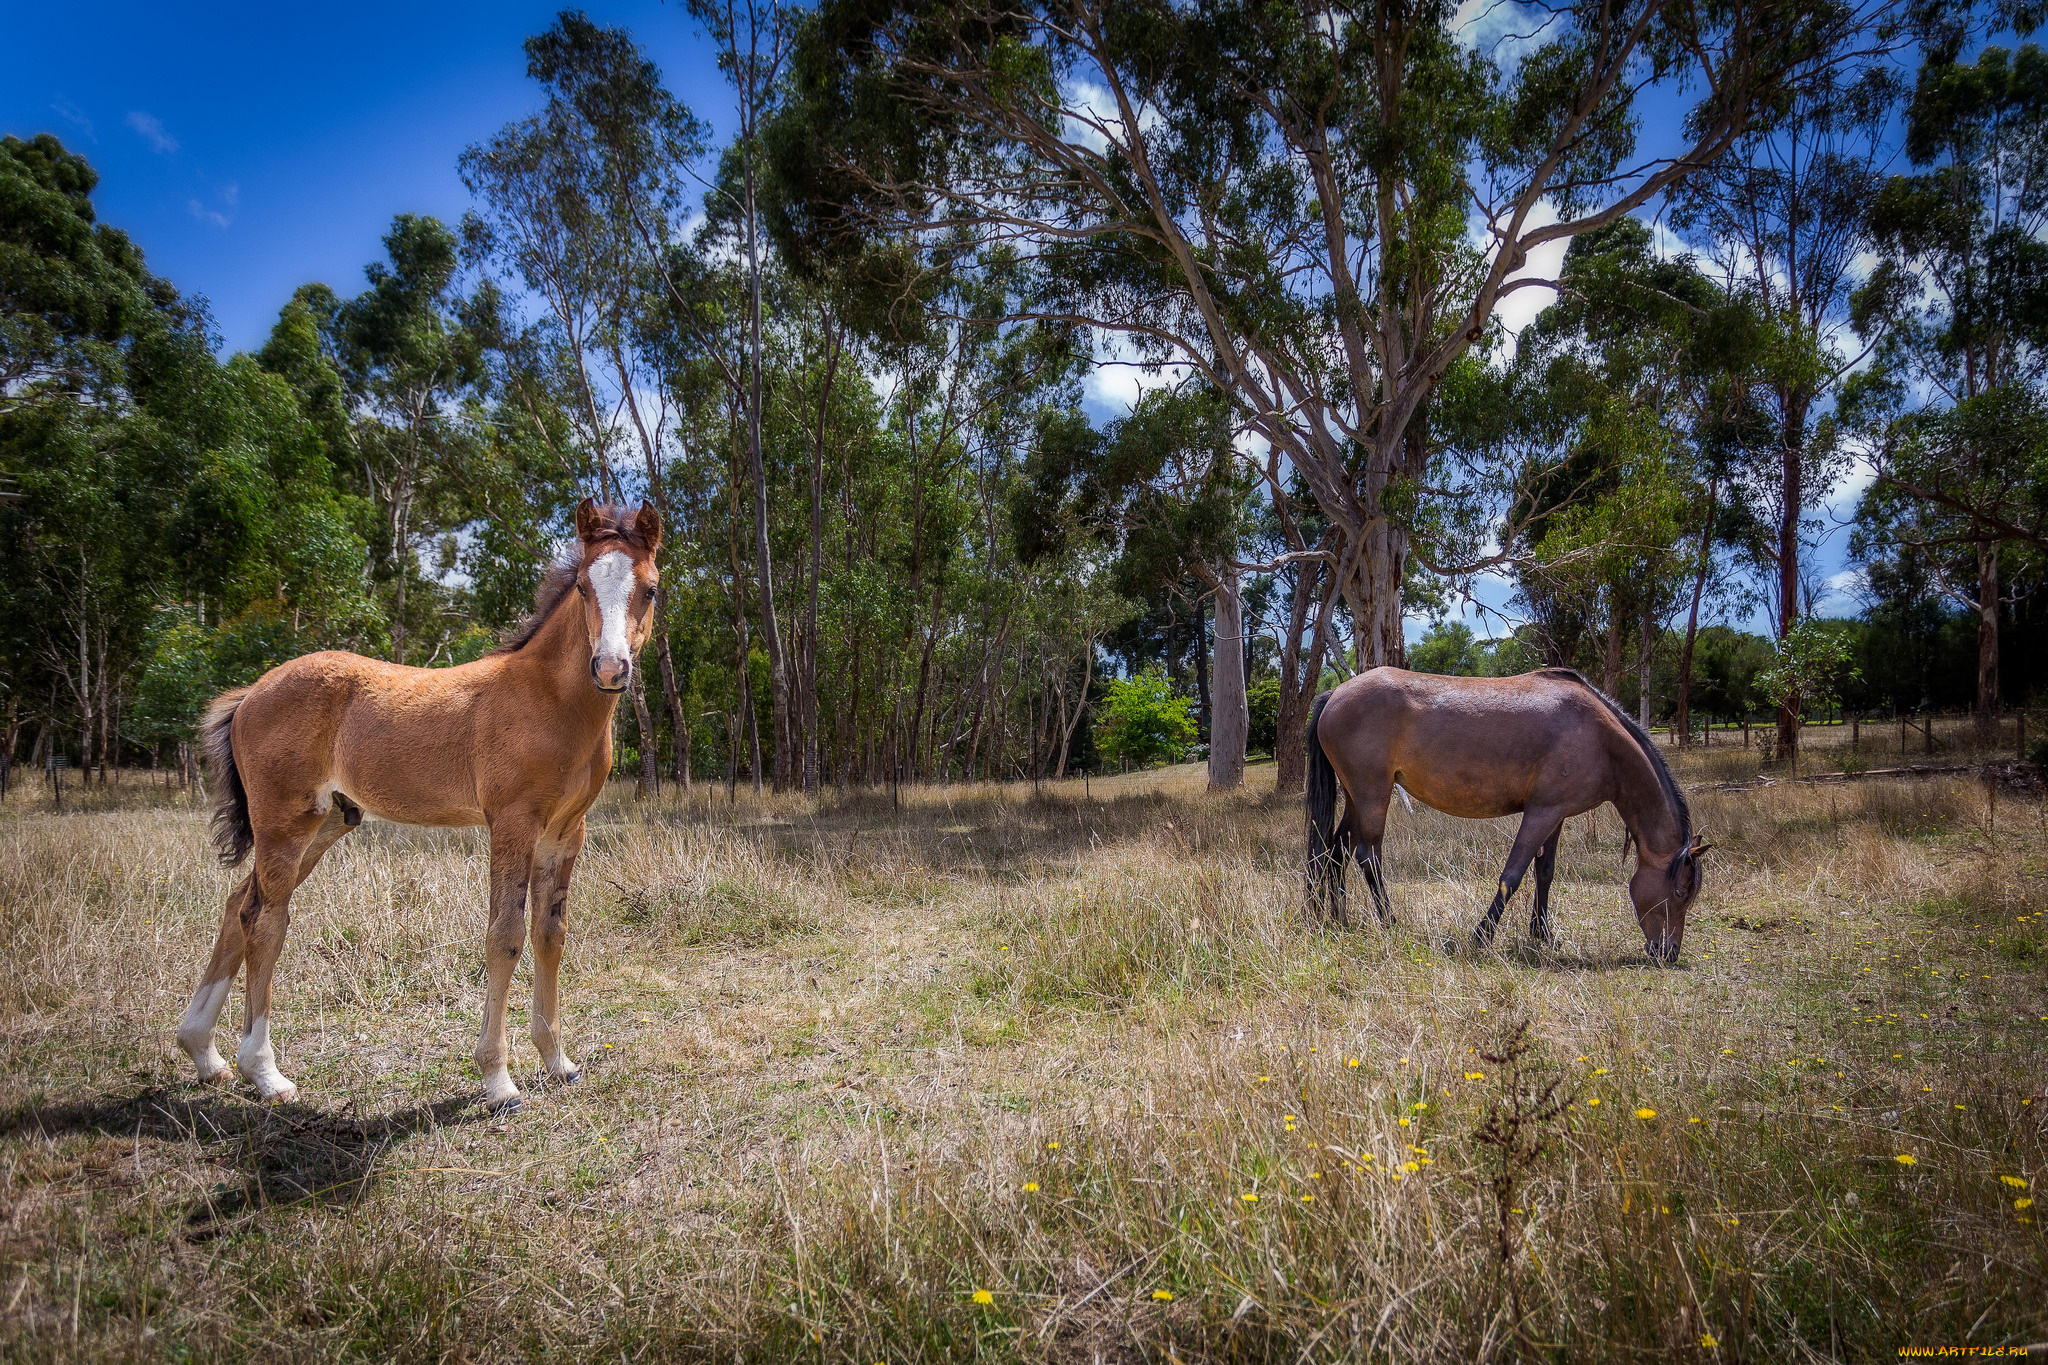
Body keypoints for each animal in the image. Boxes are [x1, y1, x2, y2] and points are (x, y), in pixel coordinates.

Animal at [1310, 667, 1712, 965]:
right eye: (1679, 892)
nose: (1668, 952)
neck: (1597, 735)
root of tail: (1336, 693)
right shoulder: (1540, 813)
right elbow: (1513, 875)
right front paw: (1482, 936)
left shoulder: (1557, 814)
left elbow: (1545, 872)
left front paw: (1543, 934)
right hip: (1372, 795)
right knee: (1368, 856)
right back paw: (1390, 923)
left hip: (1355, 797)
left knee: (1335, 851)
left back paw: (1338, 918)